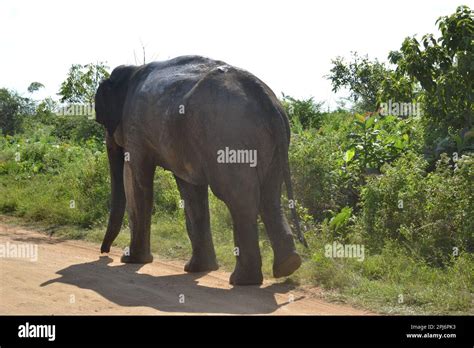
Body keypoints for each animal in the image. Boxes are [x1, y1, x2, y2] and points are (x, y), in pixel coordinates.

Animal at [94, 55, 308, 286]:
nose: (104, 253)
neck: (132, 71)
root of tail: (267, 98)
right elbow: (191, 191)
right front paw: (198, 269)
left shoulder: (135, 128)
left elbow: (136, 180)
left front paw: (131, 260)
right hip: (273, 144)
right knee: (270, 196)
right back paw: (288, 266)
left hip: (227, 137)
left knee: (238, 198)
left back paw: (241, 280)